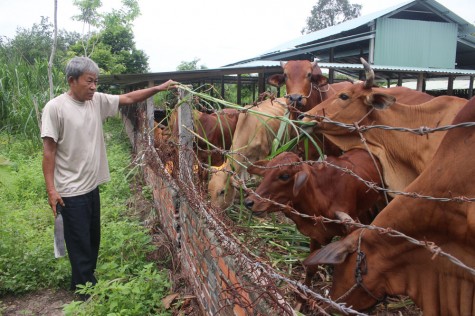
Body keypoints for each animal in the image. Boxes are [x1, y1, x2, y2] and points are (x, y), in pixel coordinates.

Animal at [244, 150, 384, 284]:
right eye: (266, 172)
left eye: (285, 176)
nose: (249, 202)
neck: (324, 198)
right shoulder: (316, 234)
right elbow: (311, 269)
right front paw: (303, 291)